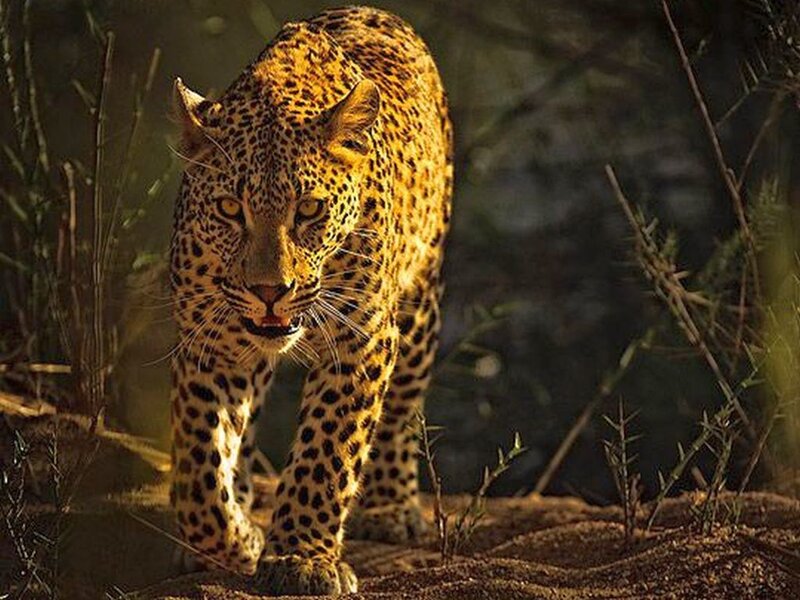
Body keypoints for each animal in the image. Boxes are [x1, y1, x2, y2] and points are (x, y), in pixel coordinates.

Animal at [169, 5, 452, 596]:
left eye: (309, 210)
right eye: (229, 209)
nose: (269, 291)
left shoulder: (361, 339)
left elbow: (327, 453)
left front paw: (300, 559)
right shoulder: (212, 342)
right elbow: (202, 465)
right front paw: (235, 539)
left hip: (420, 302)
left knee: (400, 407)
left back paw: (390, 507)